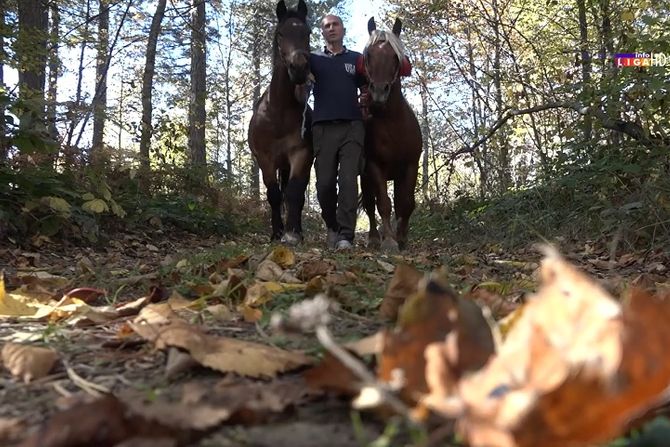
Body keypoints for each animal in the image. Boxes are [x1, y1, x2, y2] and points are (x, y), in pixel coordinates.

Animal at [249, 0, 316, 245]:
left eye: (307, 32)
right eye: (280, 33)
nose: (299, 68)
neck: (277, 113)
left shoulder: (300, 155)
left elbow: (294, 193)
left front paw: (292, 232)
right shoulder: (265, 159)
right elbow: (274, 194)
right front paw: (276, 232)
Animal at [360, 18, 422, 252]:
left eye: (395, 57)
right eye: (368, 55)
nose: (378, 93)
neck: (393, 123)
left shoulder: (411, 165)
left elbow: (406, 202)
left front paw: (402, 237)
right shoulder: (375, 167)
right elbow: (383, 204)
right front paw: (388, 240)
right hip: (365, 177)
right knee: (370, 205)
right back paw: (373, 238)